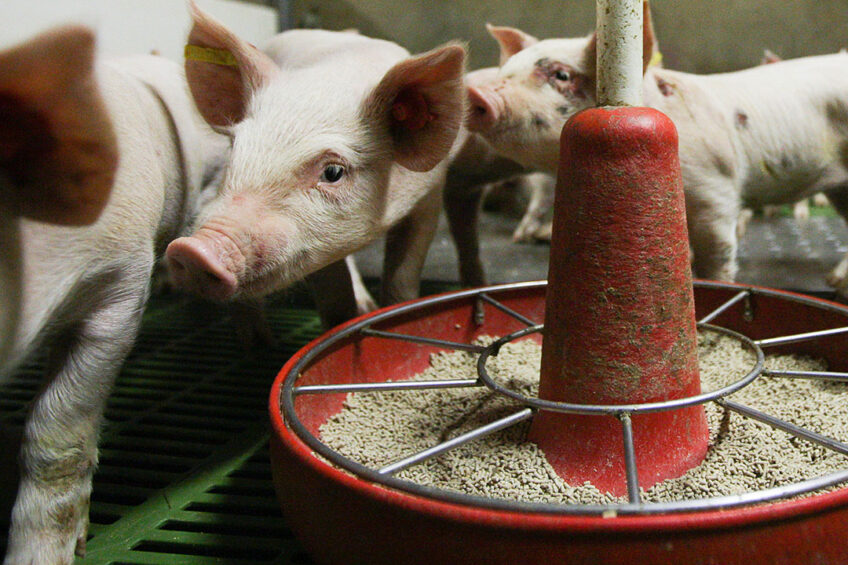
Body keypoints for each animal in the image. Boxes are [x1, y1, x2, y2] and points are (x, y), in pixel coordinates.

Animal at [165, 1, 466, 326]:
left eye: (333, 172)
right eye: (236, 147)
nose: (192, 250)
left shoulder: (429, 197)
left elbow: (403, 276)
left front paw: (389, 311)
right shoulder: (314, 245)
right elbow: (334, 294)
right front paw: (344, 323)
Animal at [466, 5, 848, 294]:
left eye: (560, 75)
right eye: (506, 71)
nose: (476, 93)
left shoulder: (716, 188)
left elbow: (717, 254)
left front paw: (713, 282)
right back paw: (833, 280)